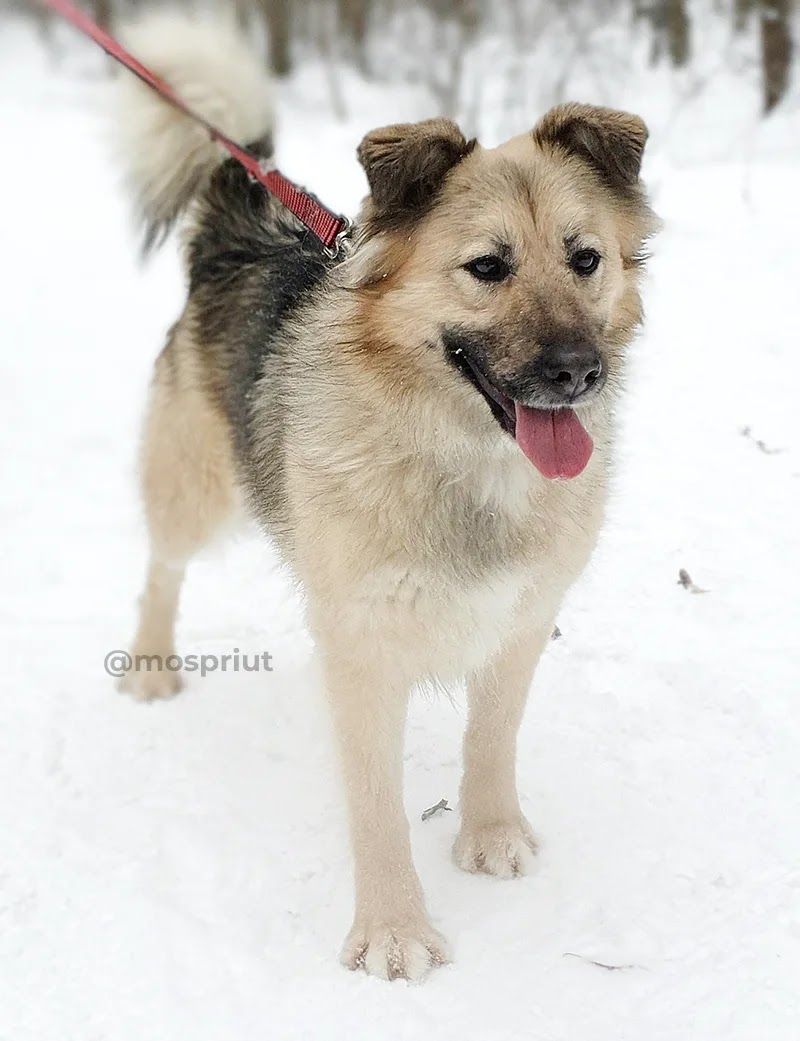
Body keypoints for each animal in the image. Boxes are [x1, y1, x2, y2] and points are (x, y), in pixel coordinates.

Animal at [117, 10, 658, 982]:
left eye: (585, 259)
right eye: (488, 267)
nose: (577, 372)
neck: (464, 456)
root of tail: (241, 231)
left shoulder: (519, 621)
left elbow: (491, 738)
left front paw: (490, 833)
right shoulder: (367, 646)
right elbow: (374, 802)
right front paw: (394, 930)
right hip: (196, 488)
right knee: (162, 567)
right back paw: (150, 666)